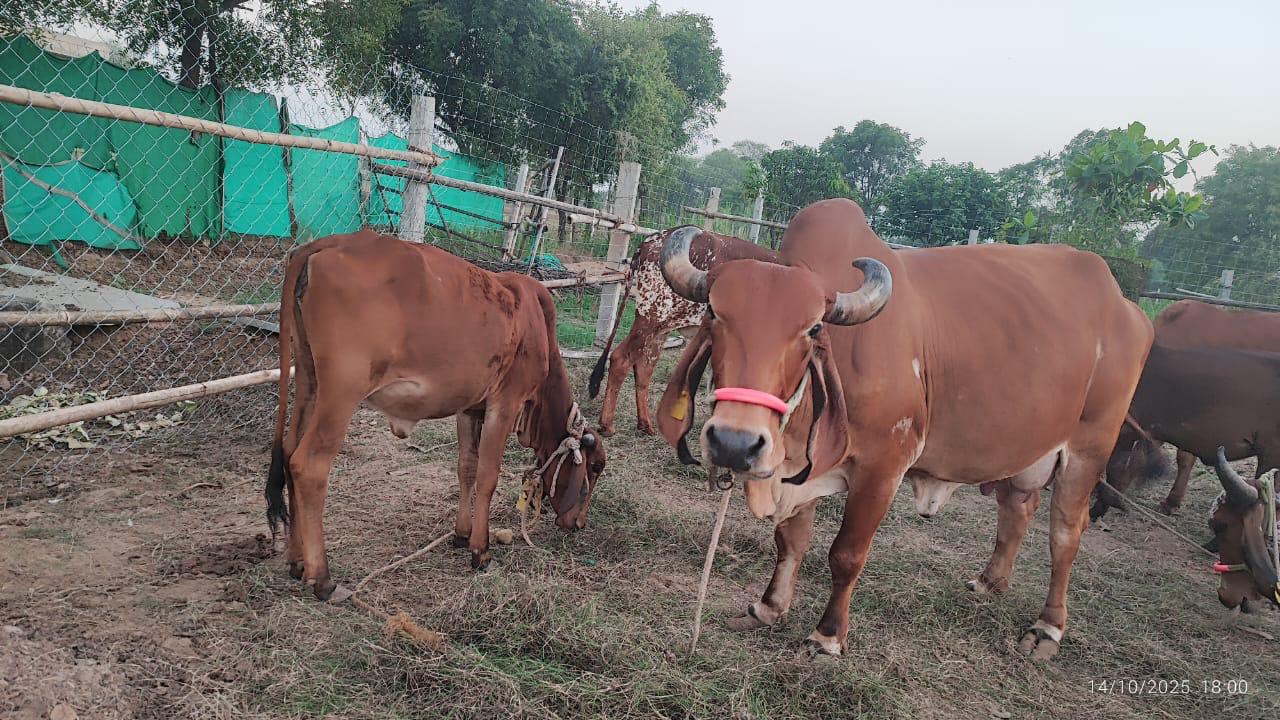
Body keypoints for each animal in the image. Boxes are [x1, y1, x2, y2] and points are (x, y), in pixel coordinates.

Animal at [264, 230, 607, 599]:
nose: (578, 523)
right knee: (308, 465)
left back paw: (297, 560)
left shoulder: (470, 409)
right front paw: (481, 550)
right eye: (592, 472)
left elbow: (466, 469)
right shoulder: (505, 403)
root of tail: (328, 243)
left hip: (308, 380)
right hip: (341, 392)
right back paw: (323, 578)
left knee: (288, 453)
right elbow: (488, 475)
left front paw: (461, 533)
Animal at [588, 228, 776, 437]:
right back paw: (607, 424)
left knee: (644, 368)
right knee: (621, 359)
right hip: (650, 318)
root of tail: (652, 239)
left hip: (660, 328)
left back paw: (646, 424)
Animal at [655, 199, 1152, 659]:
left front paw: (827, 636)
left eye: (813, 329)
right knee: (1018, 508)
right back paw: (990, 582)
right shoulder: (801, 469)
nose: (734, 443)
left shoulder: (882, 468)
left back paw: (1048, 628)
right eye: (712, 313)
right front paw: (768, 607)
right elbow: (790, 541)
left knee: (1066, 533)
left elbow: (846, 555)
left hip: (1088, 447)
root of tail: (1128, 309)